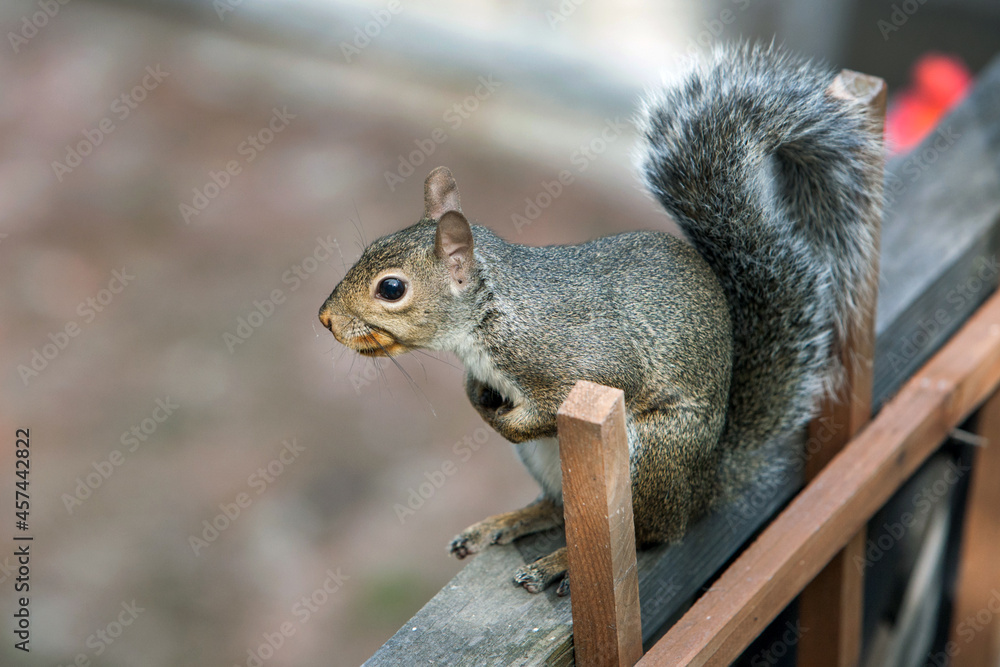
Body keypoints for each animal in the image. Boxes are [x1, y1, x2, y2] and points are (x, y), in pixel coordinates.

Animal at [316, 41, 880, 596]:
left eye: (392, 288)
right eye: (370, 246)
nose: (325, 319)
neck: (490, 317)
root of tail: (703, 489)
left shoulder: (585, 362)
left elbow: (563, 401)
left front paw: (509, 421)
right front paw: (478, 399)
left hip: (650, 455)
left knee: (646, 536)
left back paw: (557, 563)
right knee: (555, 508)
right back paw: (505, 523)